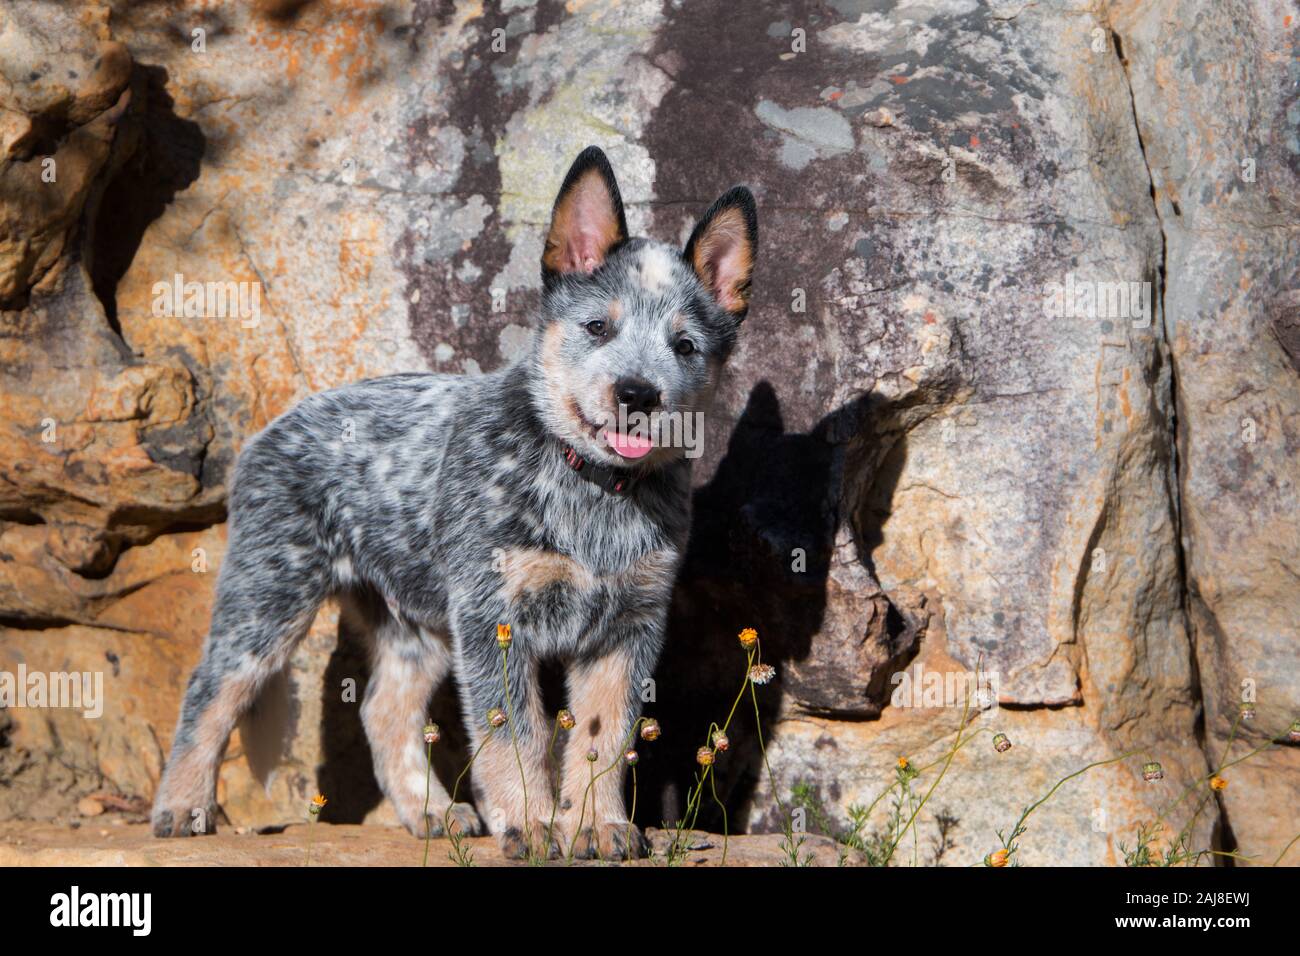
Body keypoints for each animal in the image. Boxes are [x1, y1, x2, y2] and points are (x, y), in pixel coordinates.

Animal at [150, 147, 759, 858]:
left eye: (685, 346)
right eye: (597, 327)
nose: (638, 393)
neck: (591, 489)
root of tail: (273, 425)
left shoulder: (628, 627)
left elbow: (603, 737)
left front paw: (596, 824)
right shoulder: (494, 619)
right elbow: (515, 732)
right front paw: (532, 822)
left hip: (416, 622)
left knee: (383, 710)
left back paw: (431, 811)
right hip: (269, 597)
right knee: (211, 690)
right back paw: (183, 807)